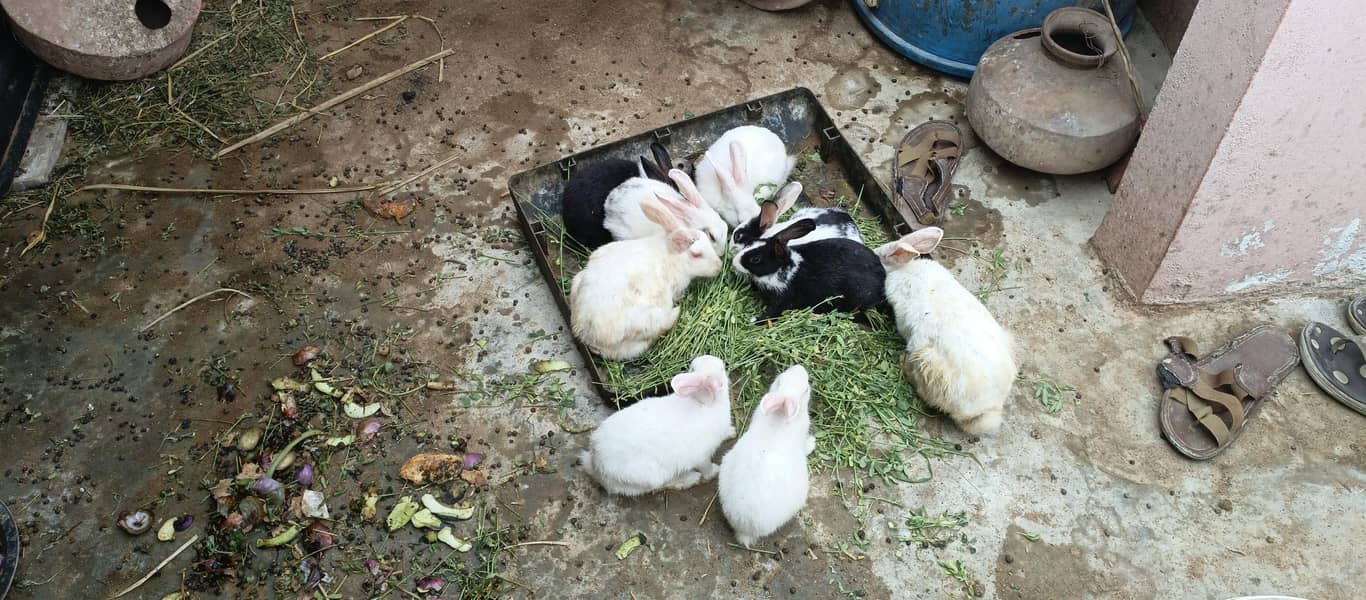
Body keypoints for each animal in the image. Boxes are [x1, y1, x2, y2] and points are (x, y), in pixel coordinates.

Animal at [569, 198, 723, 360]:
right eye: (697, 254)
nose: (719, 266)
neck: (670, 256)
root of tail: (589, 335)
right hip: (651, 319)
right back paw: (676, 312)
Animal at [580, 355, 736, 496]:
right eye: (722, 368)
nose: (723, 362)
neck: (703, 402)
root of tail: (596, 465)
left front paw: (732, 432)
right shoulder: (701, 456)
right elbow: (706, 468)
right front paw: (714, 471)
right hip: (651, 476)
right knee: (659, 486)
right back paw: (690, 479)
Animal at [718, 364, 814, 547]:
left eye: (779, 378)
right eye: (806, 390)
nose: (800, 367)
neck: (780, 414)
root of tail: (745, 529)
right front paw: (813, 443)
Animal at [732, 219, 886, 322]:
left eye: (755, 259)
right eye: (750, 242)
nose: (734, 262)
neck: (783, 268)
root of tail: (882, 278)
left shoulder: (783, 300)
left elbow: (772, 314)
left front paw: (754, 320)